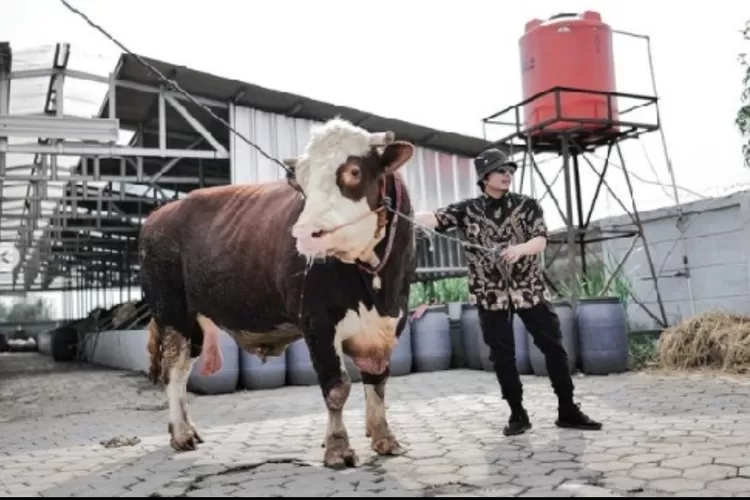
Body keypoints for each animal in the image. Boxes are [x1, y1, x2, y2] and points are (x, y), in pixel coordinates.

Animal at [140, 117, 418, 468]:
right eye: (301, 182)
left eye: (354, 171)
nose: (306, 233)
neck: (376, 285)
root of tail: (159, 214)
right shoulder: (317, 321)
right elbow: (337, 386)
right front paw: (338, 448)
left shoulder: (390, 321)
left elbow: (378, 380)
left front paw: (384, 438)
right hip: (172, 311)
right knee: (174, 371)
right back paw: (180, 434)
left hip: (196, 322)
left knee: (184, 371)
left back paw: (189, 429)